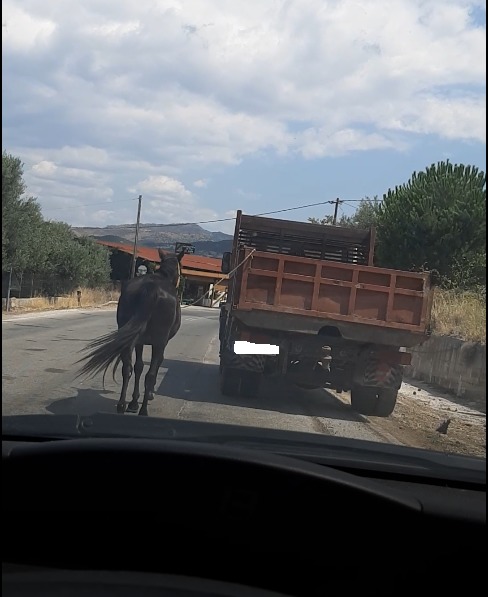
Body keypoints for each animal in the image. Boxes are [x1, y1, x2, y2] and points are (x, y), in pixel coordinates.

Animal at [77, 248, 185, 416]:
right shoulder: (162, 343)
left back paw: (122, 405)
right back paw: (143, 410)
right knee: (150, 374)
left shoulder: (139, 341)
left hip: (129, 338)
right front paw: (147, 396)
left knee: (127, 368)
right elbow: (154, 366)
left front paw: (133, 401)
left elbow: (138, 366)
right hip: (158, 342)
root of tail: (151, 289)